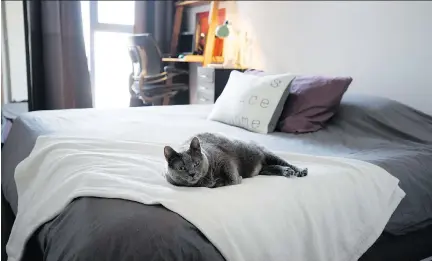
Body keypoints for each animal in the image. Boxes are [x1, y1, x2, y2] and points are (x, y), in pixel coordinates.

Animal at [163, 132, 308, 187]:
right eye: (182, 168)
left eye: (196, 163)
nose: (192, 174)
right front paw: (218, 182)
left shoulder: (224, 159)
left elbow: (232, 177)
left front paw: (237, 179)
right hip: (262, 169)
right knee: (270, 168)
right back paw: (286, 171)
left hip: (266, 154)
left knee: (284, 162)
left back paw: (299, 171)